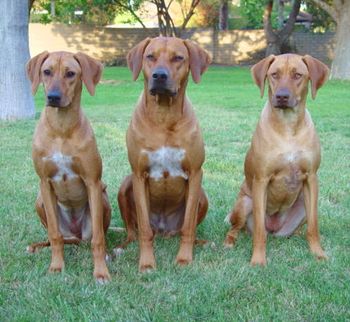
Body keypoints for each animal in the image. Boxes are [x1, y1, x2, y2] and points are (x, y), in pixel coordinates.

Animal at [26, 51, 111, 280]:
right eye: (46, 71)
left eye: (71, 73)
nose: (53, 97)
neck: (61, 129)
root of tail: (75, 234)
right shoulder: (44, 183)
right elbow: (54, 235)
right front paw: (56, 266)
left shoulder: (93, 182)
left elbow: (98, 239)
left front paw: (101, 272)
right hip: (40, 201)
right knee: (56, 237)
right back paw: (37, 246)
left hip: (103, 197)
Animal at [117, 36, 211, 270]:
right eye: (150, 56)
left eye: (178, 58)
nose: (159, 75)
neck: (164, 117)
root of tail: (164, 230)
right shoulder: (138, 174)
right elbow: (144, 229)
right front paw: (147, 263)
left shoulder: (196, 173)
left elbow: (188, 225)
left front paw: (184, 257)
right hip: (124, 186)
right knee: (133, 231)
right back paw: (123, 246)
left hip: (202, 196)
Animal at [224, 54, 328, 266]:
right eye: (274, 74)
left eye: (297, 75)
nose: (281, 96)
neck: (288, 128)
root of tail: (274, 229)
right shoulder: (261, 180)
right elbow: (259, 232)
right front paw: (258, 260)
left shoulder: (311, 178)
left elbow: (314, 227)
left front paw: (317, 253)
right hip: (244, 203)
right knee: (238, 228)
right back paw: (230, 242)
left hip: (302, 208)